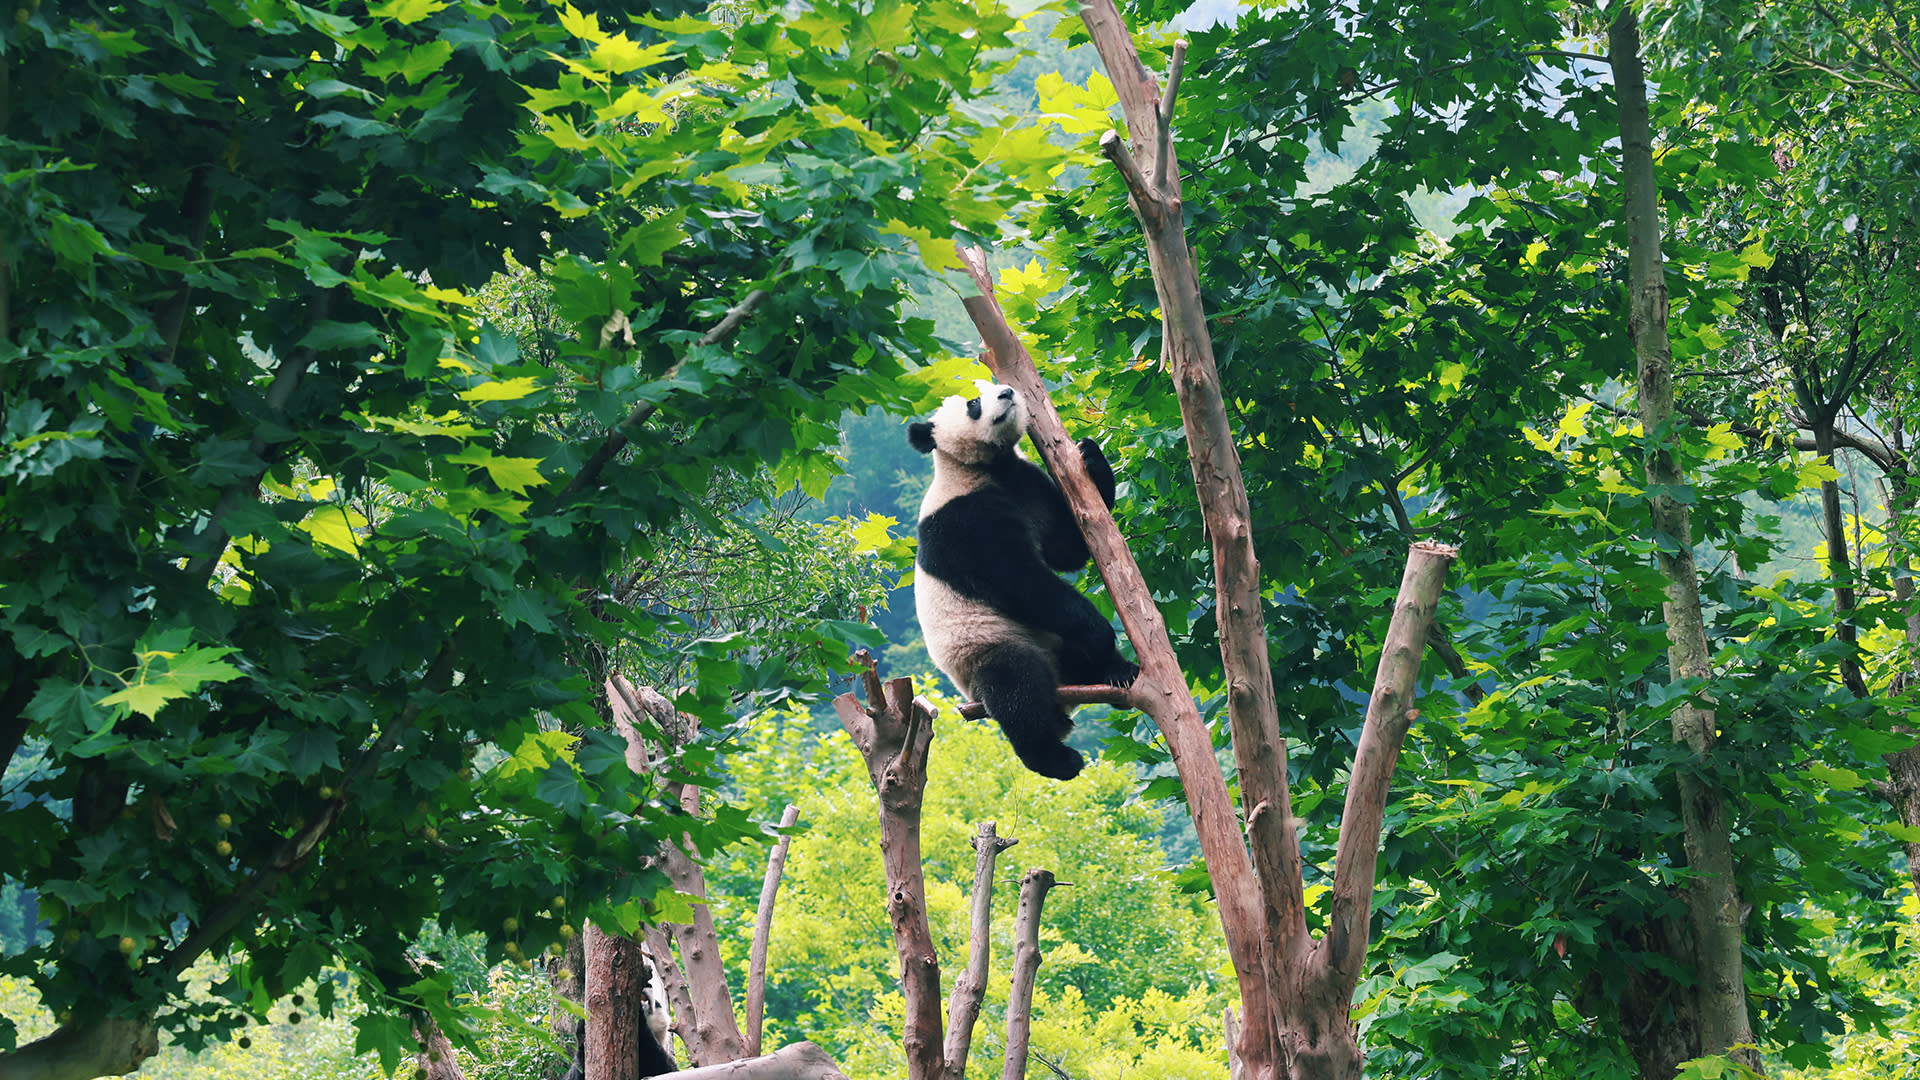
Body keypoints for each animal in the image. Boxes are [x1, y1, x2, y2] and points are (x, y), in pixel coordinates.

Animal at [909, 381, 1138, 780]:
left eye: (990, 385)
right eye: (973, 402)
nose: (1006, 392)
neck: (986, 467)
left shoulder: (1028, 484)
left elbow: (1067, 549)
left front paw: (1090, 455)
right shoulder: (962, 521)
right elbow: (1020, 580)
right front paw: (1098, 629)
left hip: (1054, 649)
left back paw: (1117, 672)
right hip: (983, 649)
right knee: (1017, 686)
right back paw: (1057, 759)